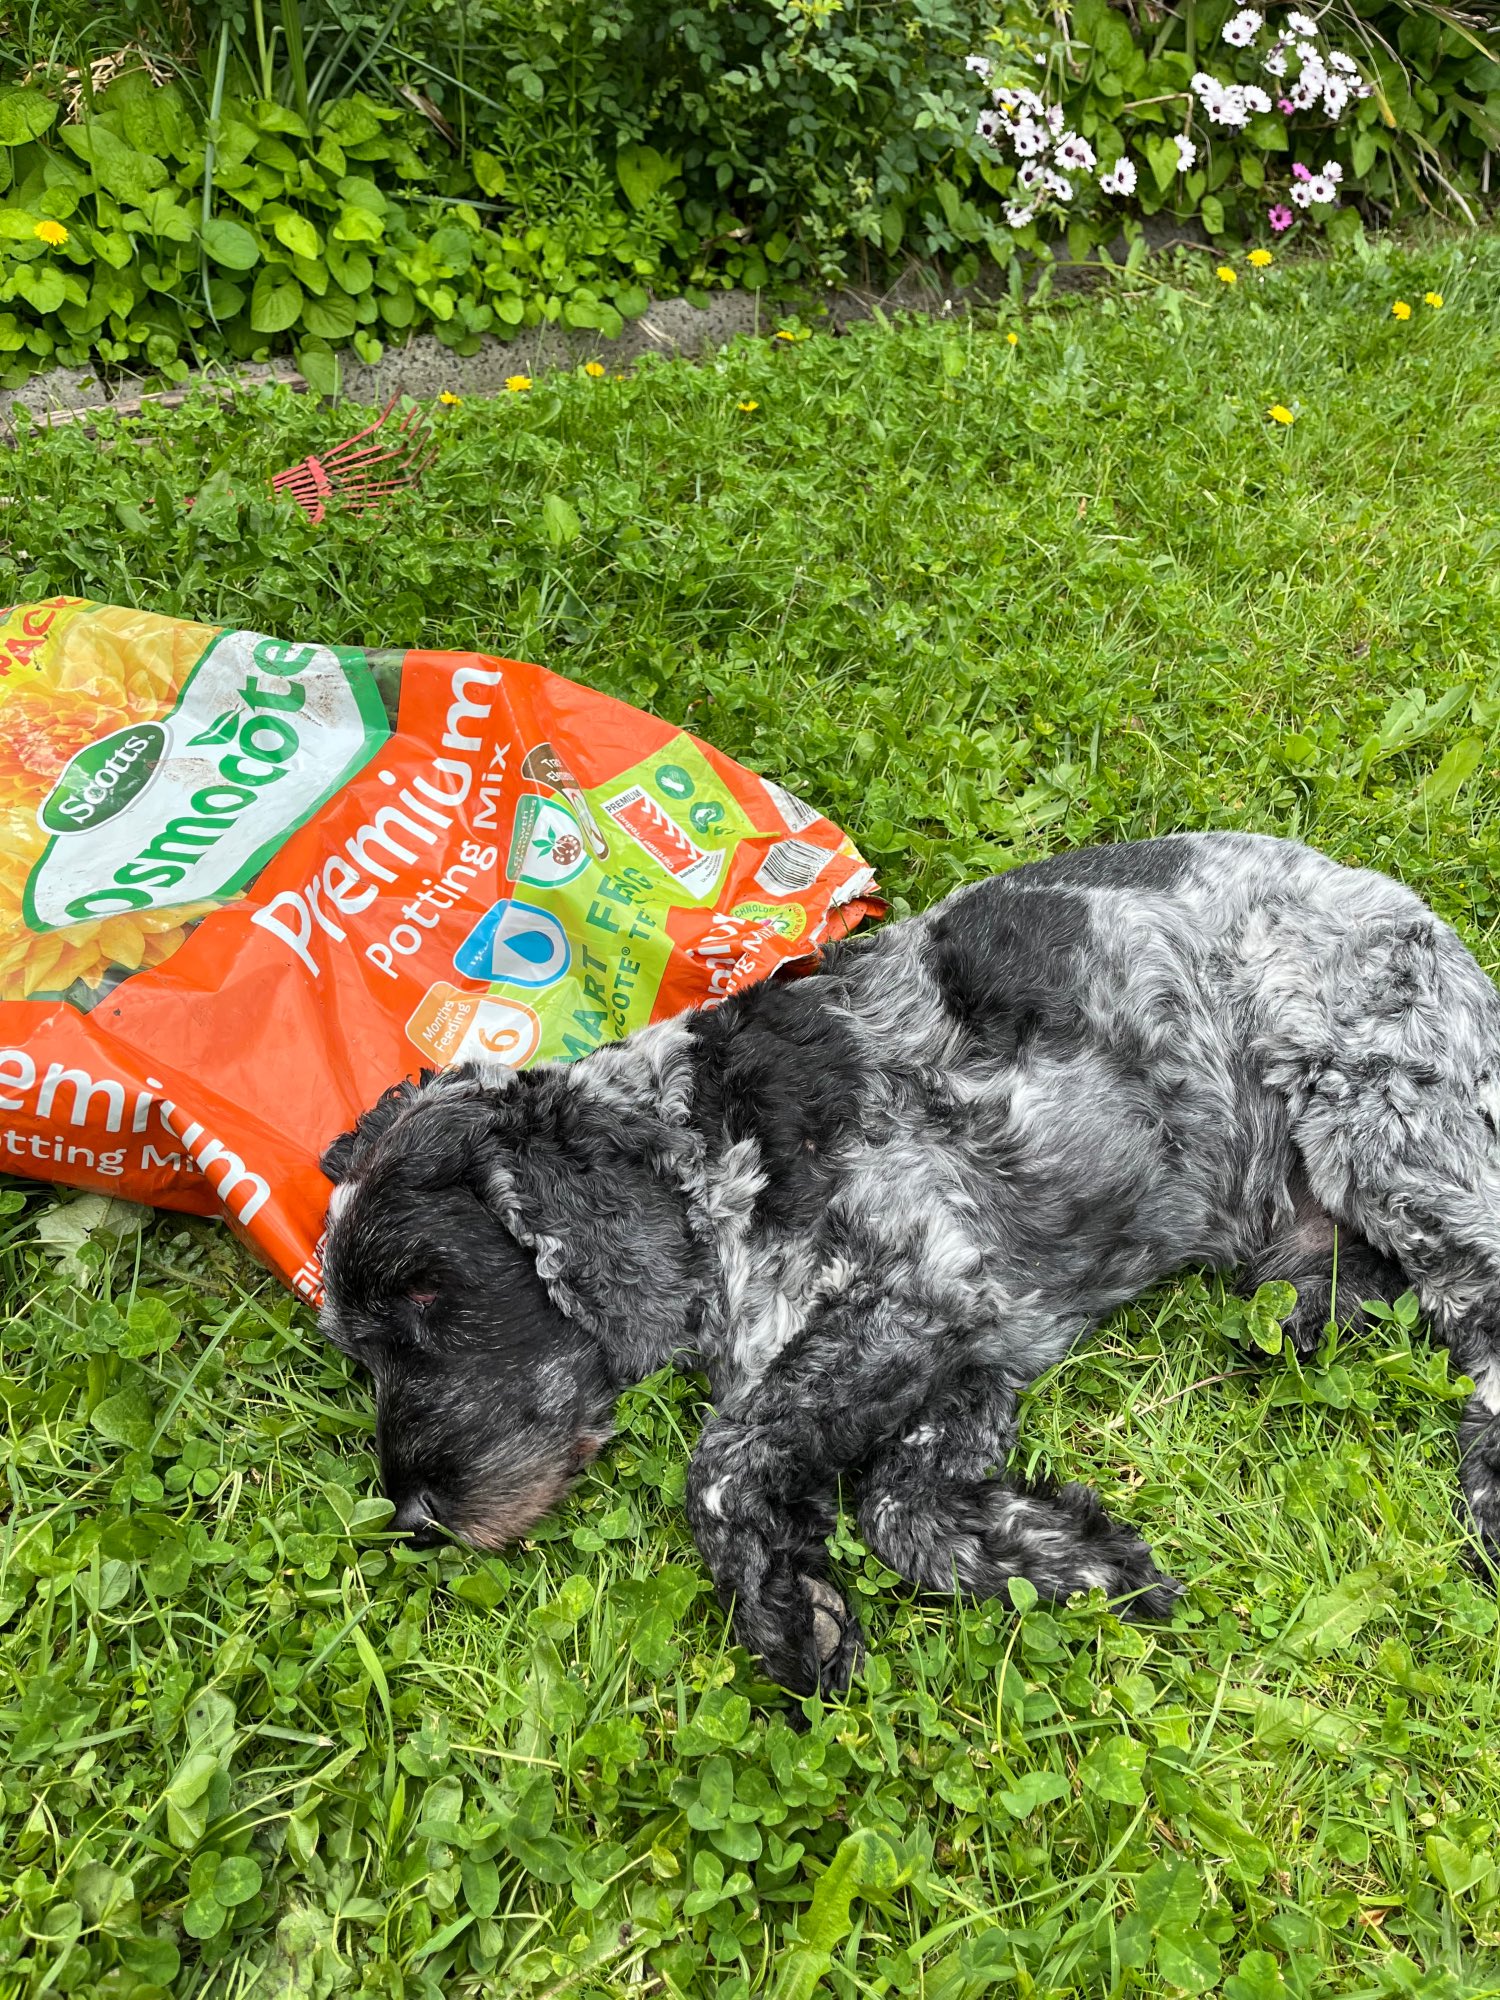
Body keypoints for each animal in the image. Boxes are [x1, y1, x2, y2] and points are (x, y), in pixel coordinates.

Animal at [318, 832, 1500, 1696]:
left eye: (428, 1289)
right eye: (355, 1350)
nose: (412, 1511)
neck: (701, 1140)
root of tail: (1423, 922)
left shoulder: (923, 1291)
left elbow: (723, 1460)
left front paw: (782, 1614)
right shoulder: (978, 1348)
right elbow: (902, 1503)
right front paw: (1065, 1556)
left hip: (1391, 1132)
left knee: (1482, 1310)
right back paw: (1308, 1316)